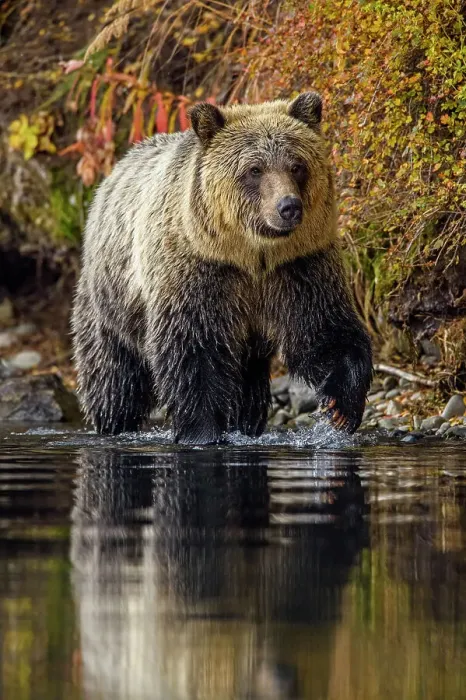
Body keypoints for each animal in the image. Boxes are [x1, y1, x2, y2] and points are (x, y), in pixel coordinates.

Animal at [72, 92, 372, 444]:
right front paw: (201, 431)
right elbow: (195, 350)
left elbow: (324, 331)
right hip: (109, 301)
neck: (252, 255)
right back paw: (113, 421)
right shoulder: (201, 270)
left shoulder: (299, 267)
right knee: (113, 375)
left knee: (248, 381)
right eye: (254, 169)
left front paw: (341, 407)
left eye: (297, 165)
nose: (288, 207)